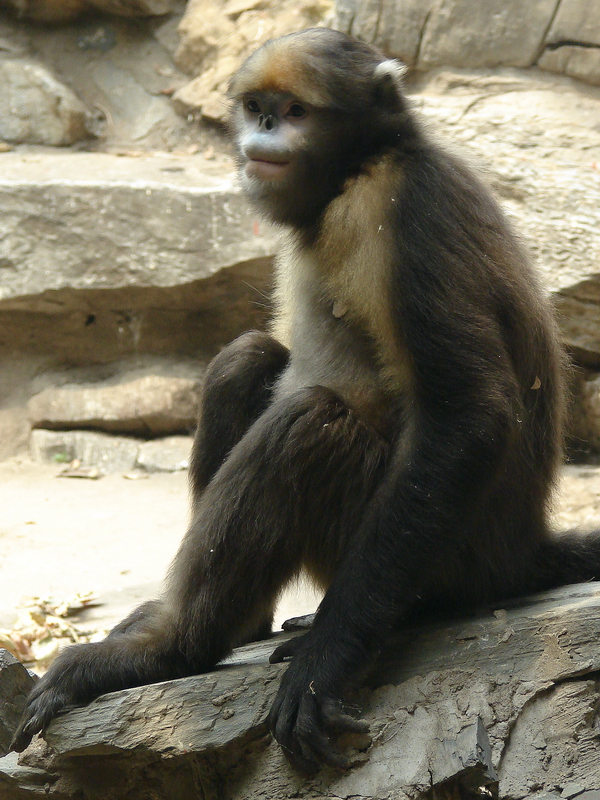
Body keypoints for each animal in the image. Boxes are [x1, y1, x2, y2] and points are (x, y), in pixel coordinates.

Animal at [12, 27, 600, 772]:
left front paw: (326, 659)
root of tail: (522, 550)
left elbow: (470, 415)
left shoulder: (403, 207)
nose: (263, 131)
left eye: (294, 111)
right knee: (246, 361)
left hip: (444, 559)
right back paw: (237, 624)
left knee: (309, 420)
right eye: (257, 107)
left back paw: (176, 649)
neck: (357, 170)